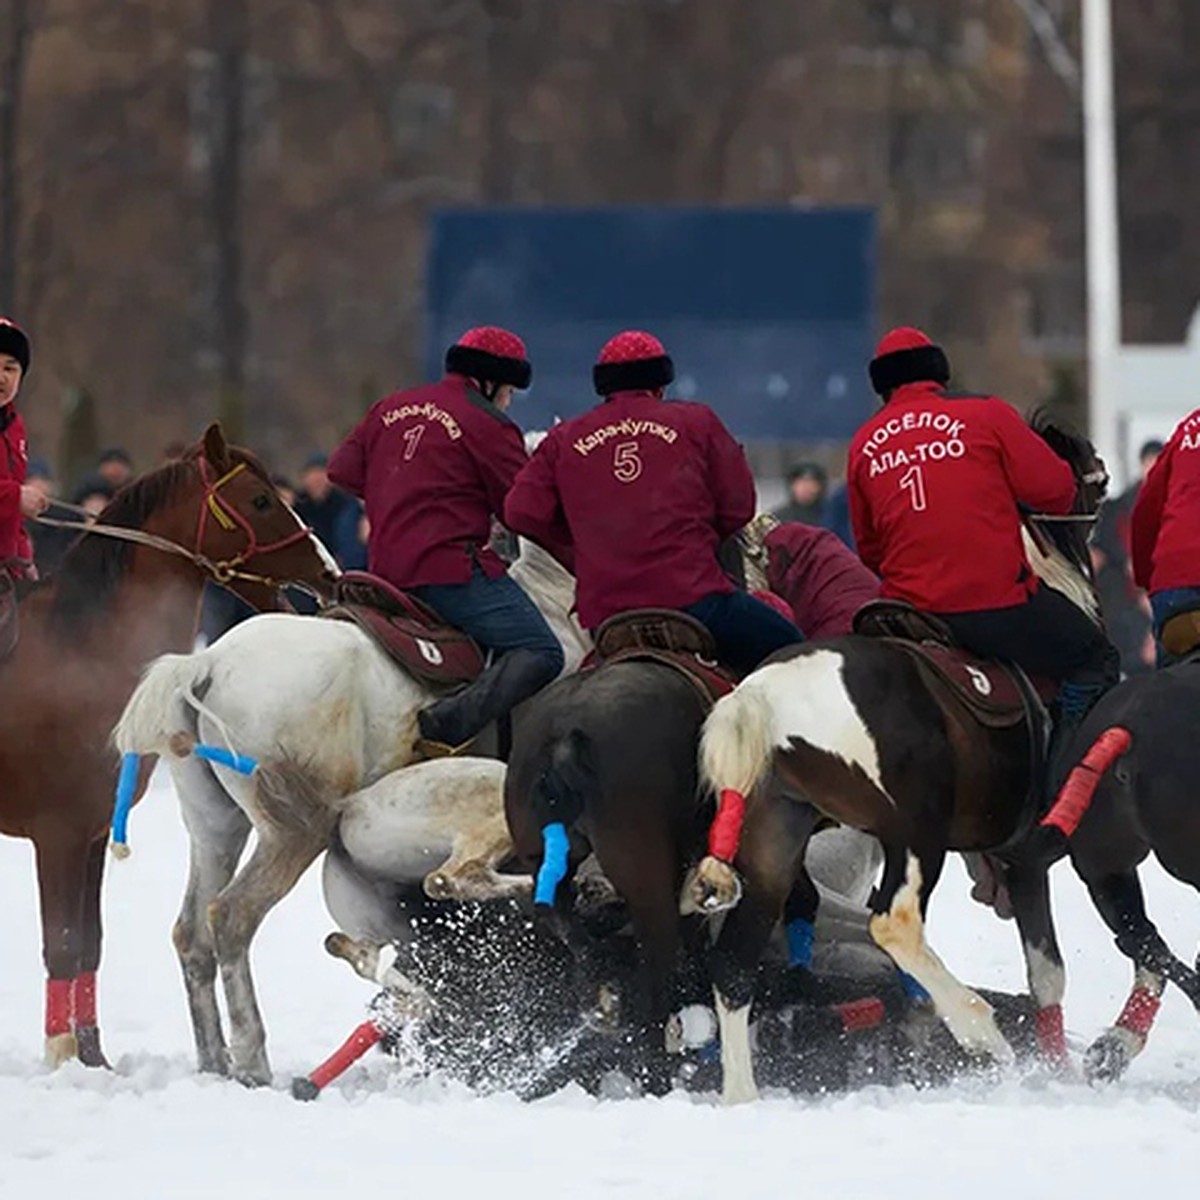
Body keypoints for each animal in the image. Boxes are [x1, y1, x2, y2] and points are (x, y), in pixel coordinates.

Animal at [0, 424, 338, 1070]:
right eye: (261, 500)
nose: (331, 573)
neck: (79, 648)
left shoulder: (92, 831)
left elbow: (90, 944)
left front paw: (93, 1059)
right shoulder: (57, 834)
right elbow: (62, 944)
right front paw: (62, 1057)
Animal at [112, 540, 590, 1084]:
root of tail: (206, 662)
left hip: (215, 826)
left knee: (192, 932)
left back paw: (215, 1061)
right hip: (295, 829)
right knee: (234, 915)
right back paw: (252, 1058)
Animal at [686, 410, 1104, 1099]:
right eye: (1089, 478)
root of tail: (763, 694)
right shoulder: (1024, 857)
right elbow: (1049, 975)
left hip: (774, 839)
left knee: (733, 964)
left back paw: (741, 1094)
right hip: (914, 832)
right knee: (894, 924)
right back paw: (979, 1029)